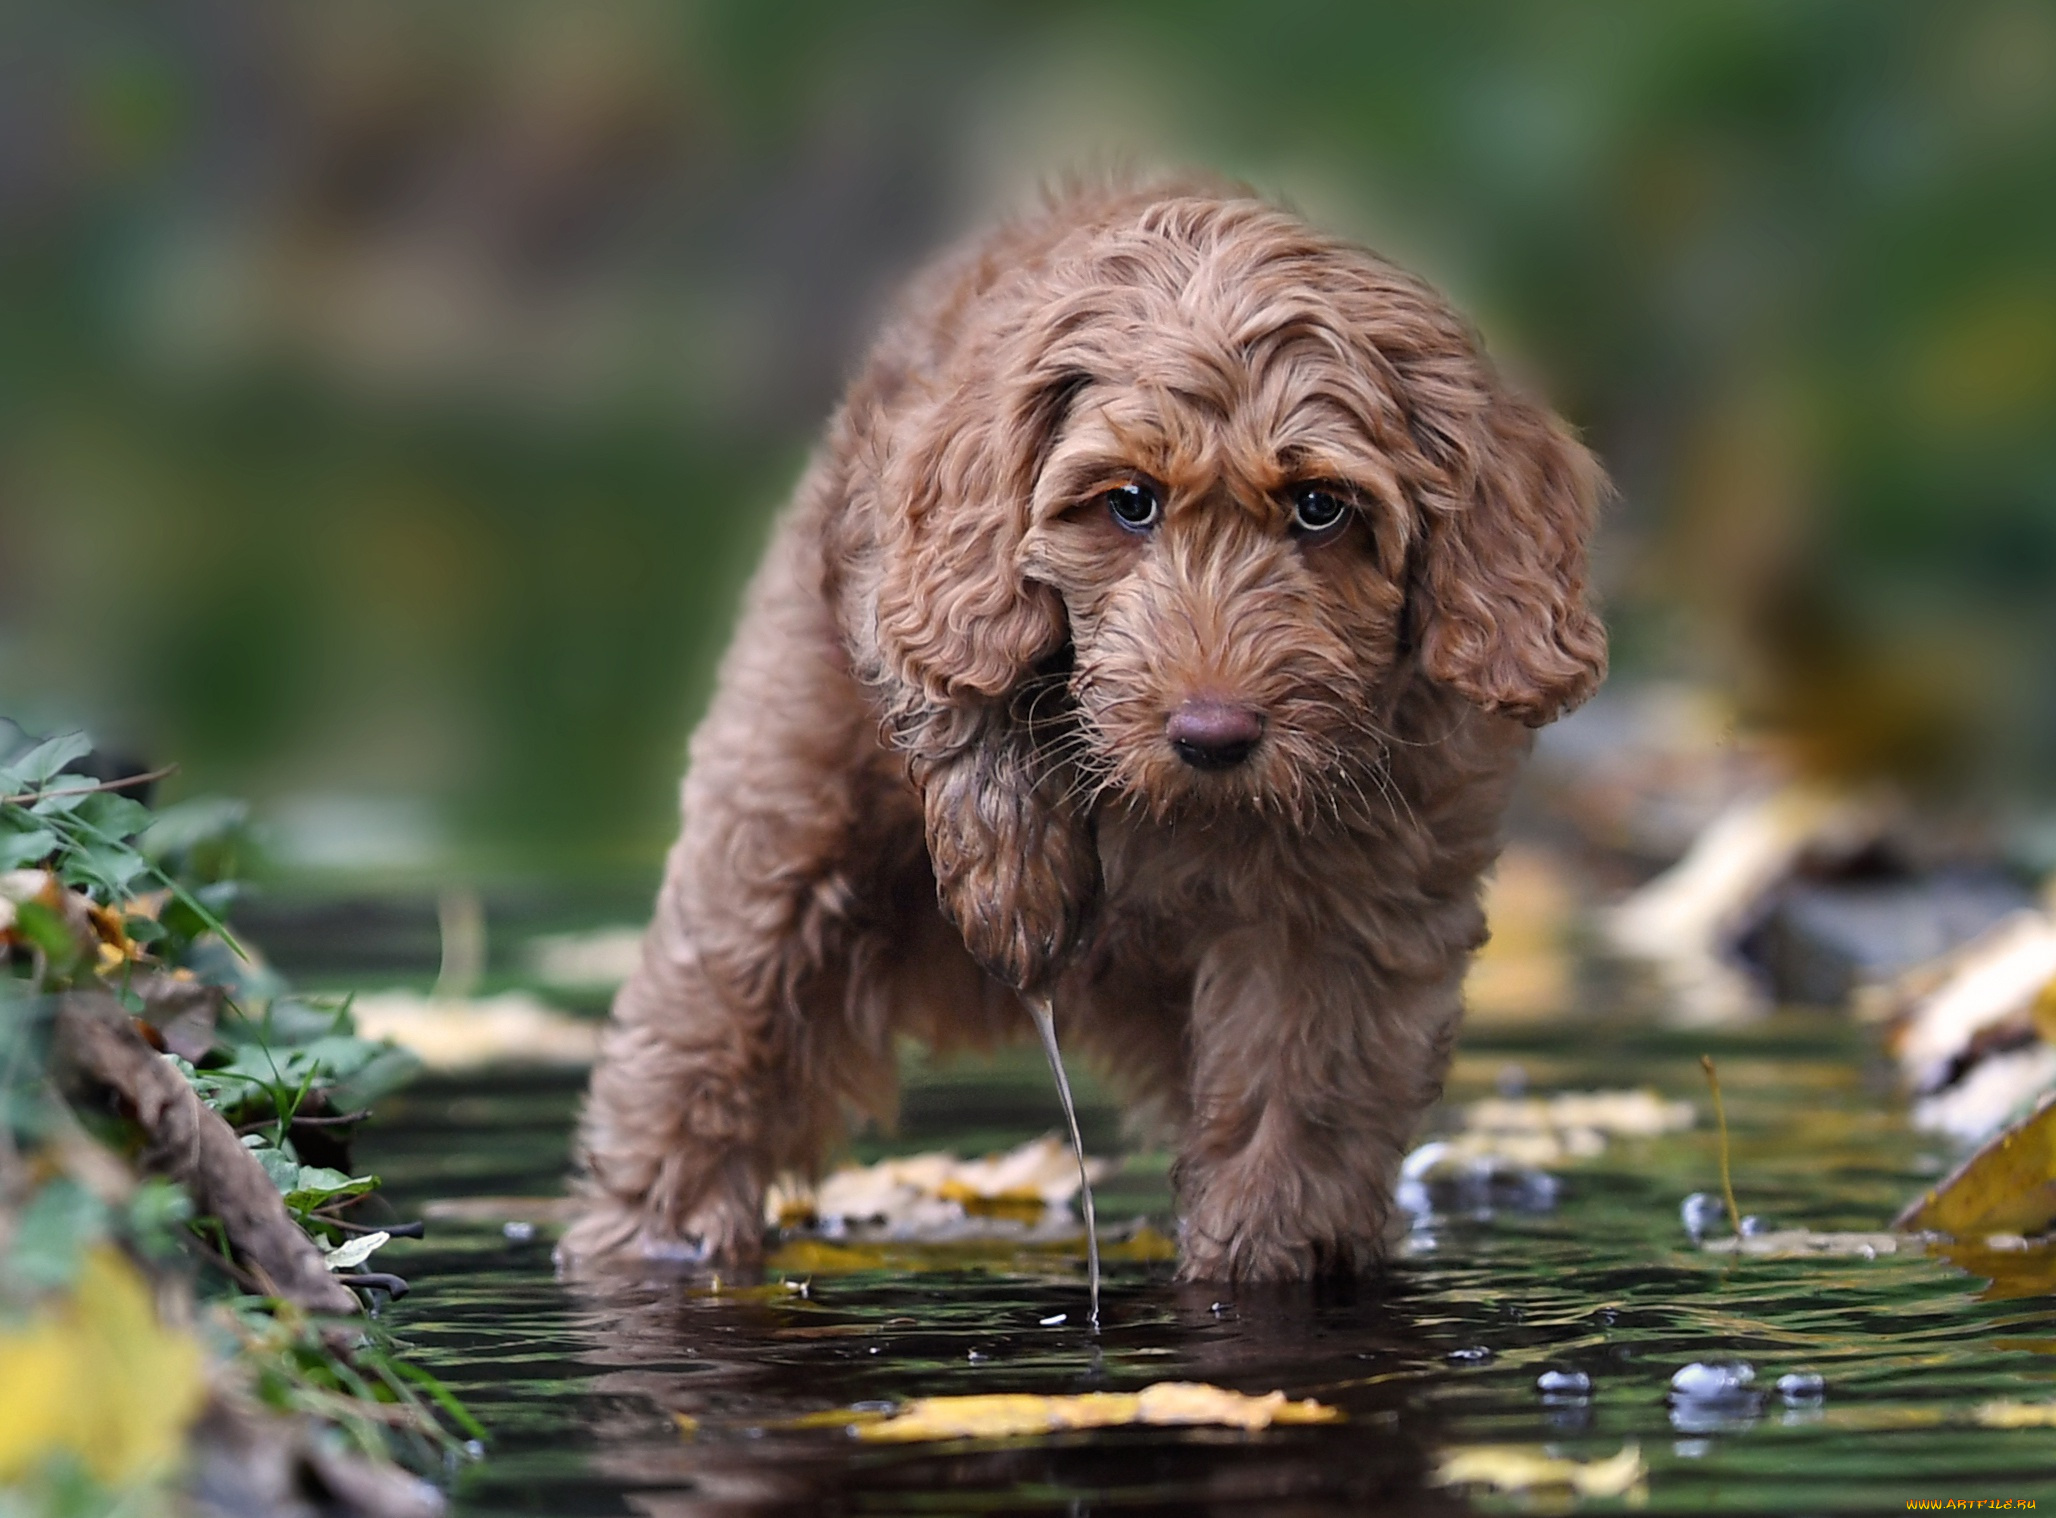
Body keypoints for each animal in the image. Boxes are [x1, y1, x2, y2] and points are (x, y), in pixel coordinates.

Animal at [563, 183, 1603, 1283]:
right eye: (1129, 504)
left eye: (1323, 508)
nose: (1212, 733)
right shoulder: (907, 557)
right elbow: (947, 665)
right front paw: (1012, 877)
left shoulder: (1348, 910)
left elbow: (1296, 1091)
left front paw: (1261, 1249)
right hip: (782, 802)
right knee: (711, 1023)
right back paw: (659, 1233)